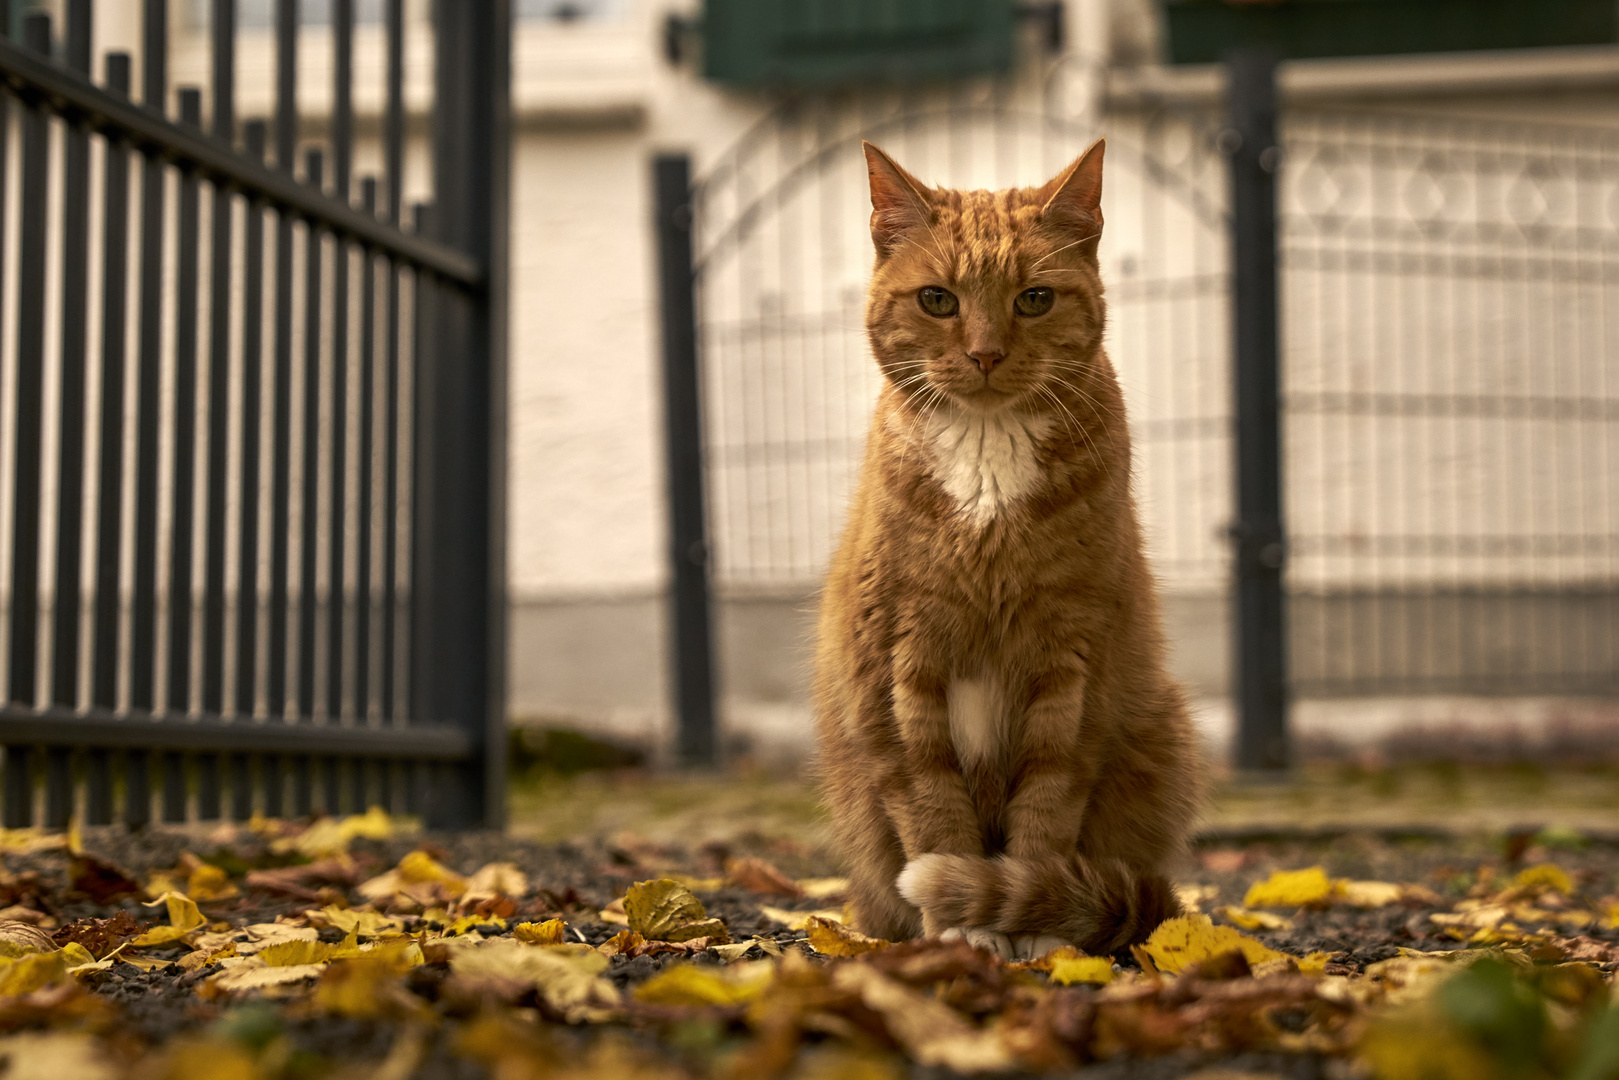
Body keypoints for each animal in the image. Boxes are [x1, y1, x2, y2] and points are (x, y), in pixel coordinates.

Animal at [809, 139, 1204, 958]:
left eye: (1034, 299)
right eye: (937, 301)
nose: (986, 354)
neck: (987, 461)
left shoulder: (1072, 669)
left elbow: (1045, 814)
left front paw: (1038, 926)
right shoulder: (900, 667)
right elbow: (933, 813)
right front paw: (964, 928)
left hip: (1164, 730)